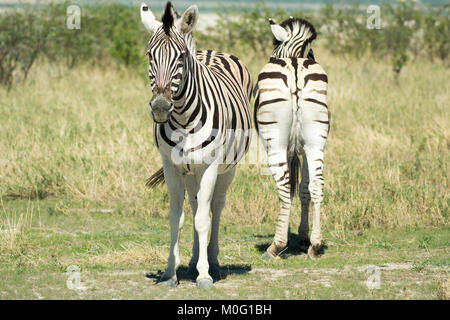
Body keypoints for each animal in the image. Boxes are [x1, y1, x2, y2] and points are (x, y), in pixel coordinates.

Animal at [142, 1, 253, 288]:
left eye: (181, 57)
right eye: (149, 55)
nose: (160, 107)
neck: (182, 118)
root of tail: (212, 51)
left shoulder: (209, 166)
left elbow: (204, 219)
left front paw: (204, 274)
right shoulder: (171, 166)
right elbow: (177, 218)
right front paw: (171, 272)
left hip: (227, 168)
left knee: (215, 206)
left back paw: (212, 260)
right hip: (190, 171)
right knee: (194, 205)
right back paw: (193, 260)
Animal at [253, 16, 330, 258]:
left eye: (273, 54)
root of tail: (295, 66)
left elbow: (292, 189)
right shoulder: (305, 149)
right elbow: (305, 189)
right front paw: (304, 236)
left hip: (274, 141)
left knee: (285, 187)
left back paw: (275, 246)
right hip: (316, 140)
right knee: (318, 184)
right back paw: (315, 245)